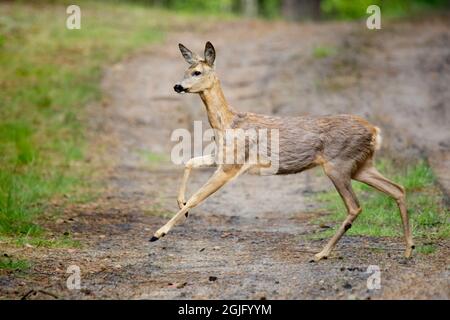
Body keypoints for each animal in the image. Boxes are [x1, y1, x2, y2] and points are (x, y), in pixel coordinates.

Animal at [149, 41, 414, 262]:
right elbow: (189, 162)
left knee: (355, 206)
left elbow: (197, 197)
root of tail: (375, 130)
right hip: (362, 165)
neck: (227, 124)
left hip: (338, 164)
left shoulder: (232, 166)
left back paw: (321, 253)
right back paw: (409, 249)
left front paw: (159, 232)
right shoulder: (221, 157)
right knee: (398, 189)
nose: (177, 86)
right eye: (185, 70)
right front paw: (179, 203)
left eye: (197, 72)